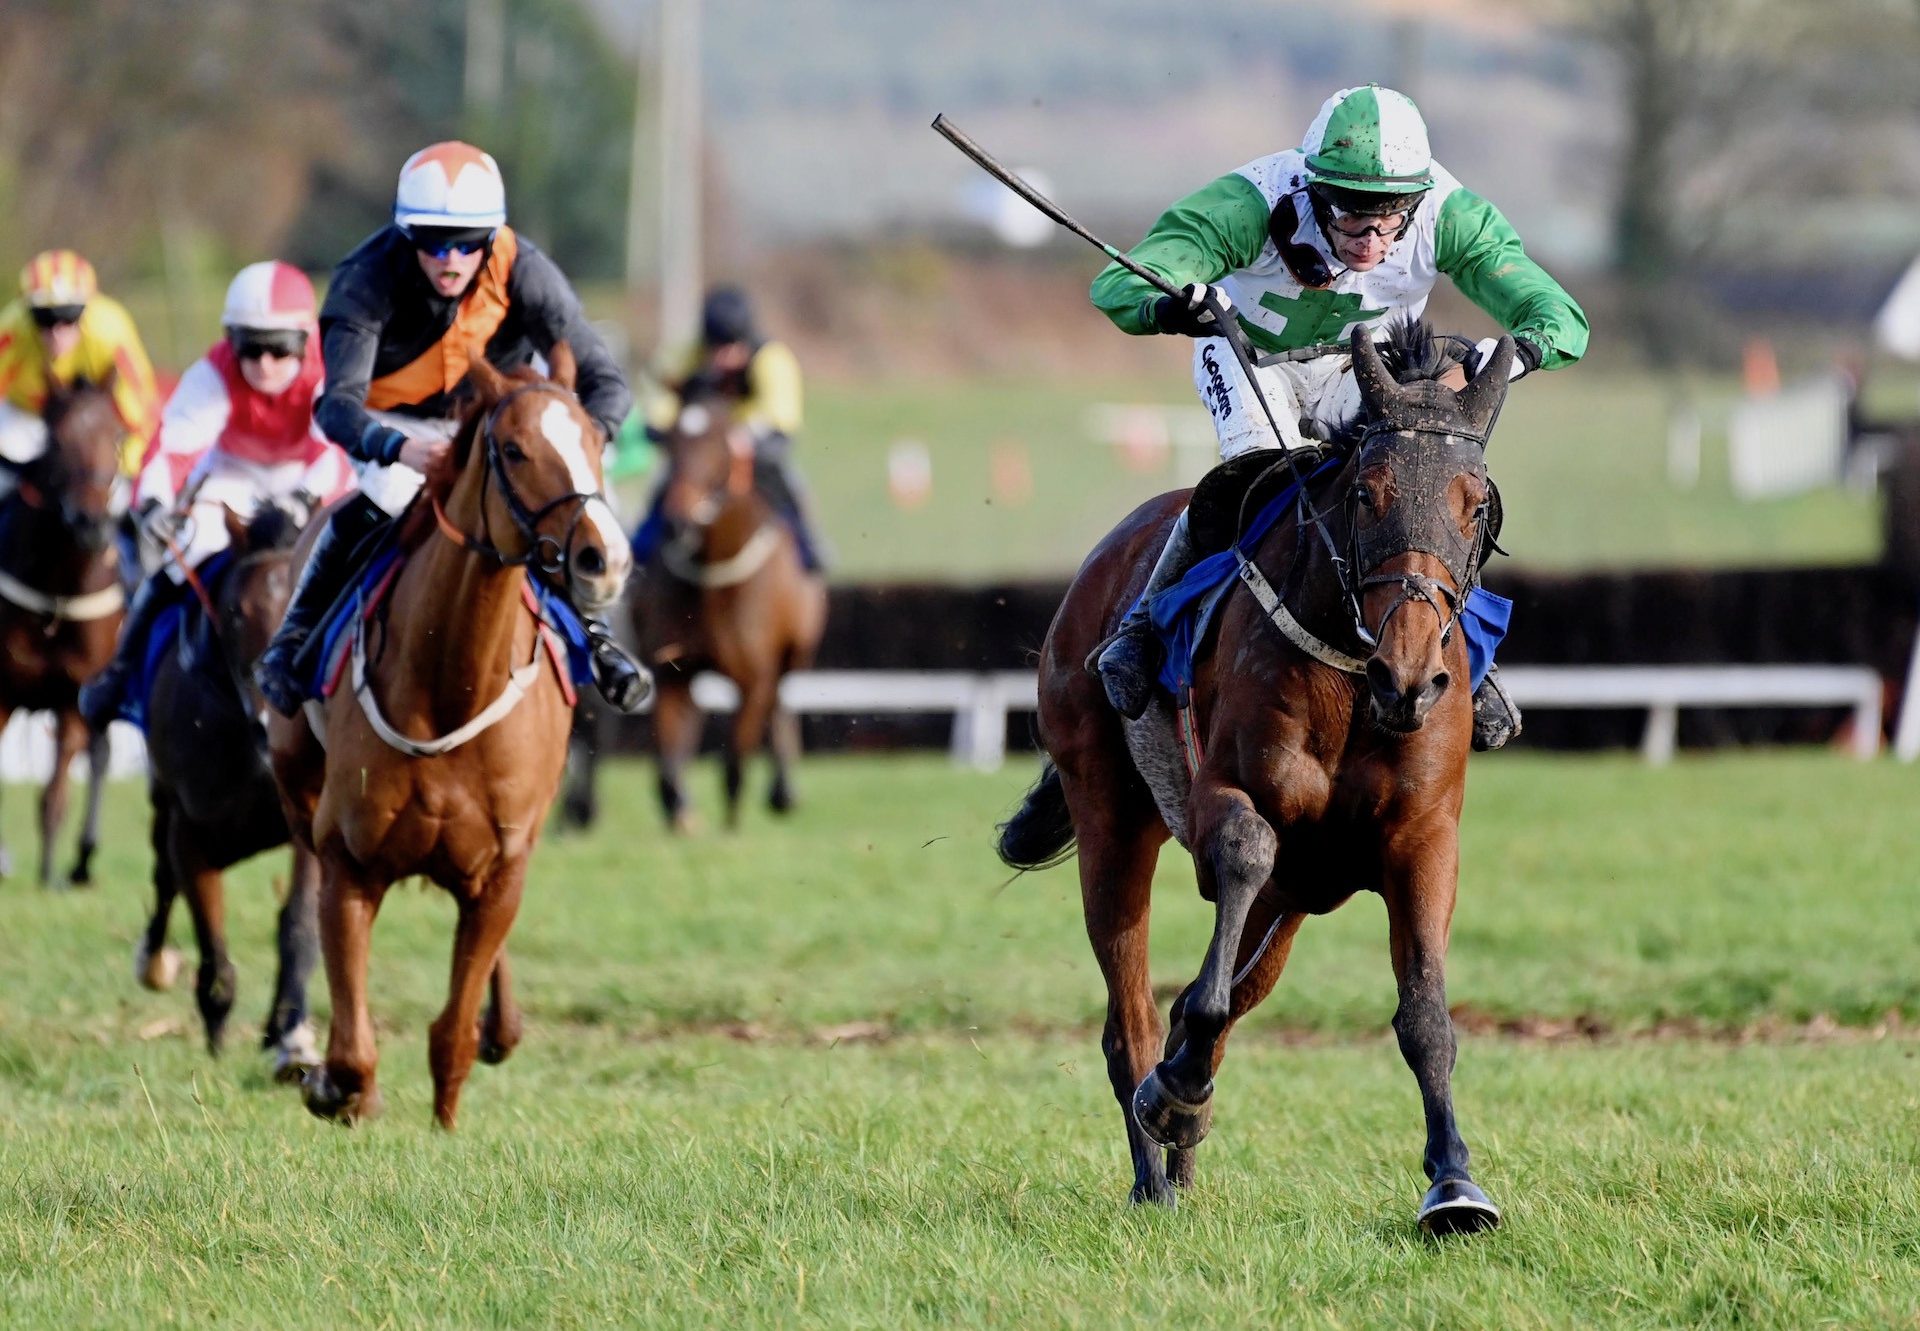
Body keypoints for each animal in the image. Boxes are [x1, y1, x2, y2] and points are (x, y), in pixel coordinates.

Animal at [136, 499, 322, 1083]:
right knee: (161, 878)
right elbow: (209, 932)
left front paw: (290, 1036)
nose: (271, 724)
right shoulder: (190, 828)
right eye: (237, 613)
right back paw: (153, 962)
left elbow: (298, 926)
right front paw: (217, 1025)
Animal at [268, 347, 629, 1129]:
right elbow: (353, 1045)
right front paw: (335, 1085)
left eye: (594, 440)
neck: (451, 679)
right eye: (514, 450)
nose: (603, 560)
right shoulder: (350, 858)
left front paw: (448, 1116)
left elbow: (453, 1032)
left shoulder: (503, 863)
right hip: (297, 786)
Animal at [622, 397, 817, 829]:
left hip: (793, 655)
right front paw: (682, 812)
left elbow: (735, 762)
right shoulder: (671, 671)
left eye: (721, 448)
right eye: (670, 446)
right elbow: (669, 766)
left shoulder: (754, 679)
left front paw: (731, 826)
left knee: (782, 705)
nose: (678, 522)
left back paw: (783, 790)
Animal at [990, 324, 1512, 1236]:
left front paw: (1453, 1183)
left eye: (1474, 502)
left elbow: (1424, 1013)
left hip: (1295, 898)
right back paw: (1155, 1168)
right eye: (1367, 493)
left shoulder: (1421, 837)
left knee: (1224, 994)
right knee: (1131, 1017)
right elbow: (1237, 856)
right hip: (1111, 818)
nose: (1410, 676)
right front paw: (1177, 1091)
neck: (1352, 680)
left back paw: (1183, 1160)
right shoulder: (1221, 799)